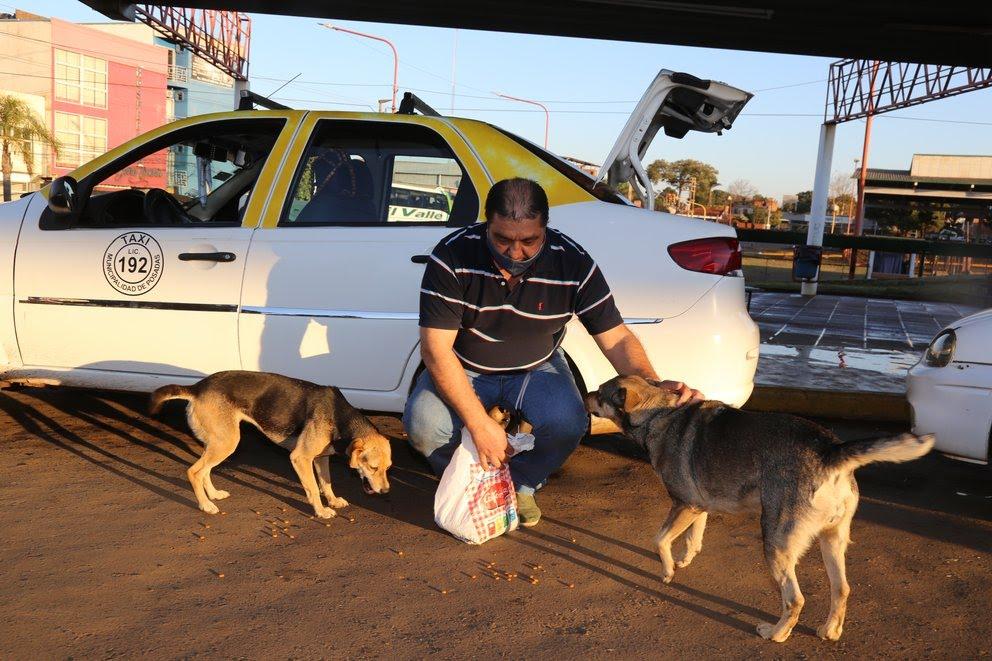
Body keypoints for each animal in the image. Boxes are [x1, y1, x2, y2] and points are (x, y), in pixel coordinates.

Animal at [151, 368, 392, 520]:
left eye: (388, 468)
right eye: (373, 467)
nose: (386, 491)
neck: (338, 415)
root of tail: (197, 387)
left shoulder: (321, 458)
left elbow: (326, 483)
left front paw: (332, 501)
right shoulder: (301, 458)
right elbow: (314, 488)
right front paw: (321, 511)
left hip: (219, 443)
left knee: (204, 471)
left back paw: (213, 495)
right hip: (227, 443)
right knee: (194, 471)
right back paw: (206, 505)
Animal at [584, 374, 932, 640]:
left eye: (599, 393)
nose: (584, 393)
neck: (658, 413)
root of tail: (830, 449)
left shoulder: (684, 504)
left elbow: (659, 540)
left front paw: (668, 570)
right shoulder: (697, 506)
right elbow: (693, 536)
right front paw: (685, 558)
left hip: (775, 544)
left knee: (795, 600)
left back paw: (776, 634)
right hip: (832, 539)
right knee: (842, 588)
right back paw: (830, 630)